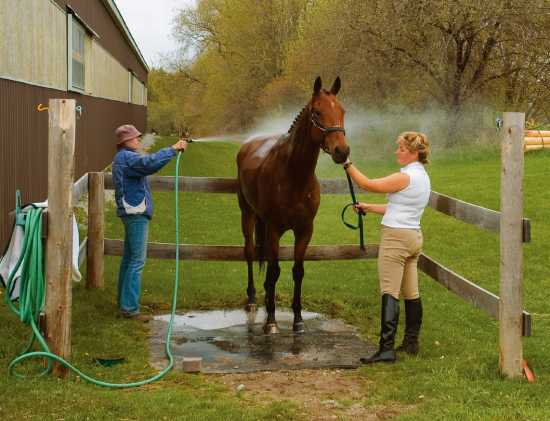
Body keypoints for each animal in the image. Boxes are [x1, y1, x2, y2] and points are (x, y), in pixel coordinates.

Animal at [236, 74, 350, 332]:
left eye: (342, 110)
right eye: (317, 112)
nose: (342, 151)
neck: (295, 176)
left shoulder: (305, 230)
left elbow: (297, 271)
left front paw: (298, 320)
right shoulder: (274, 230)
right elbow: (274, 270)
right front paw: (271, 322)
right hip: (248, 215)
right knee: (250, 253)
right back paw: (252, 300)